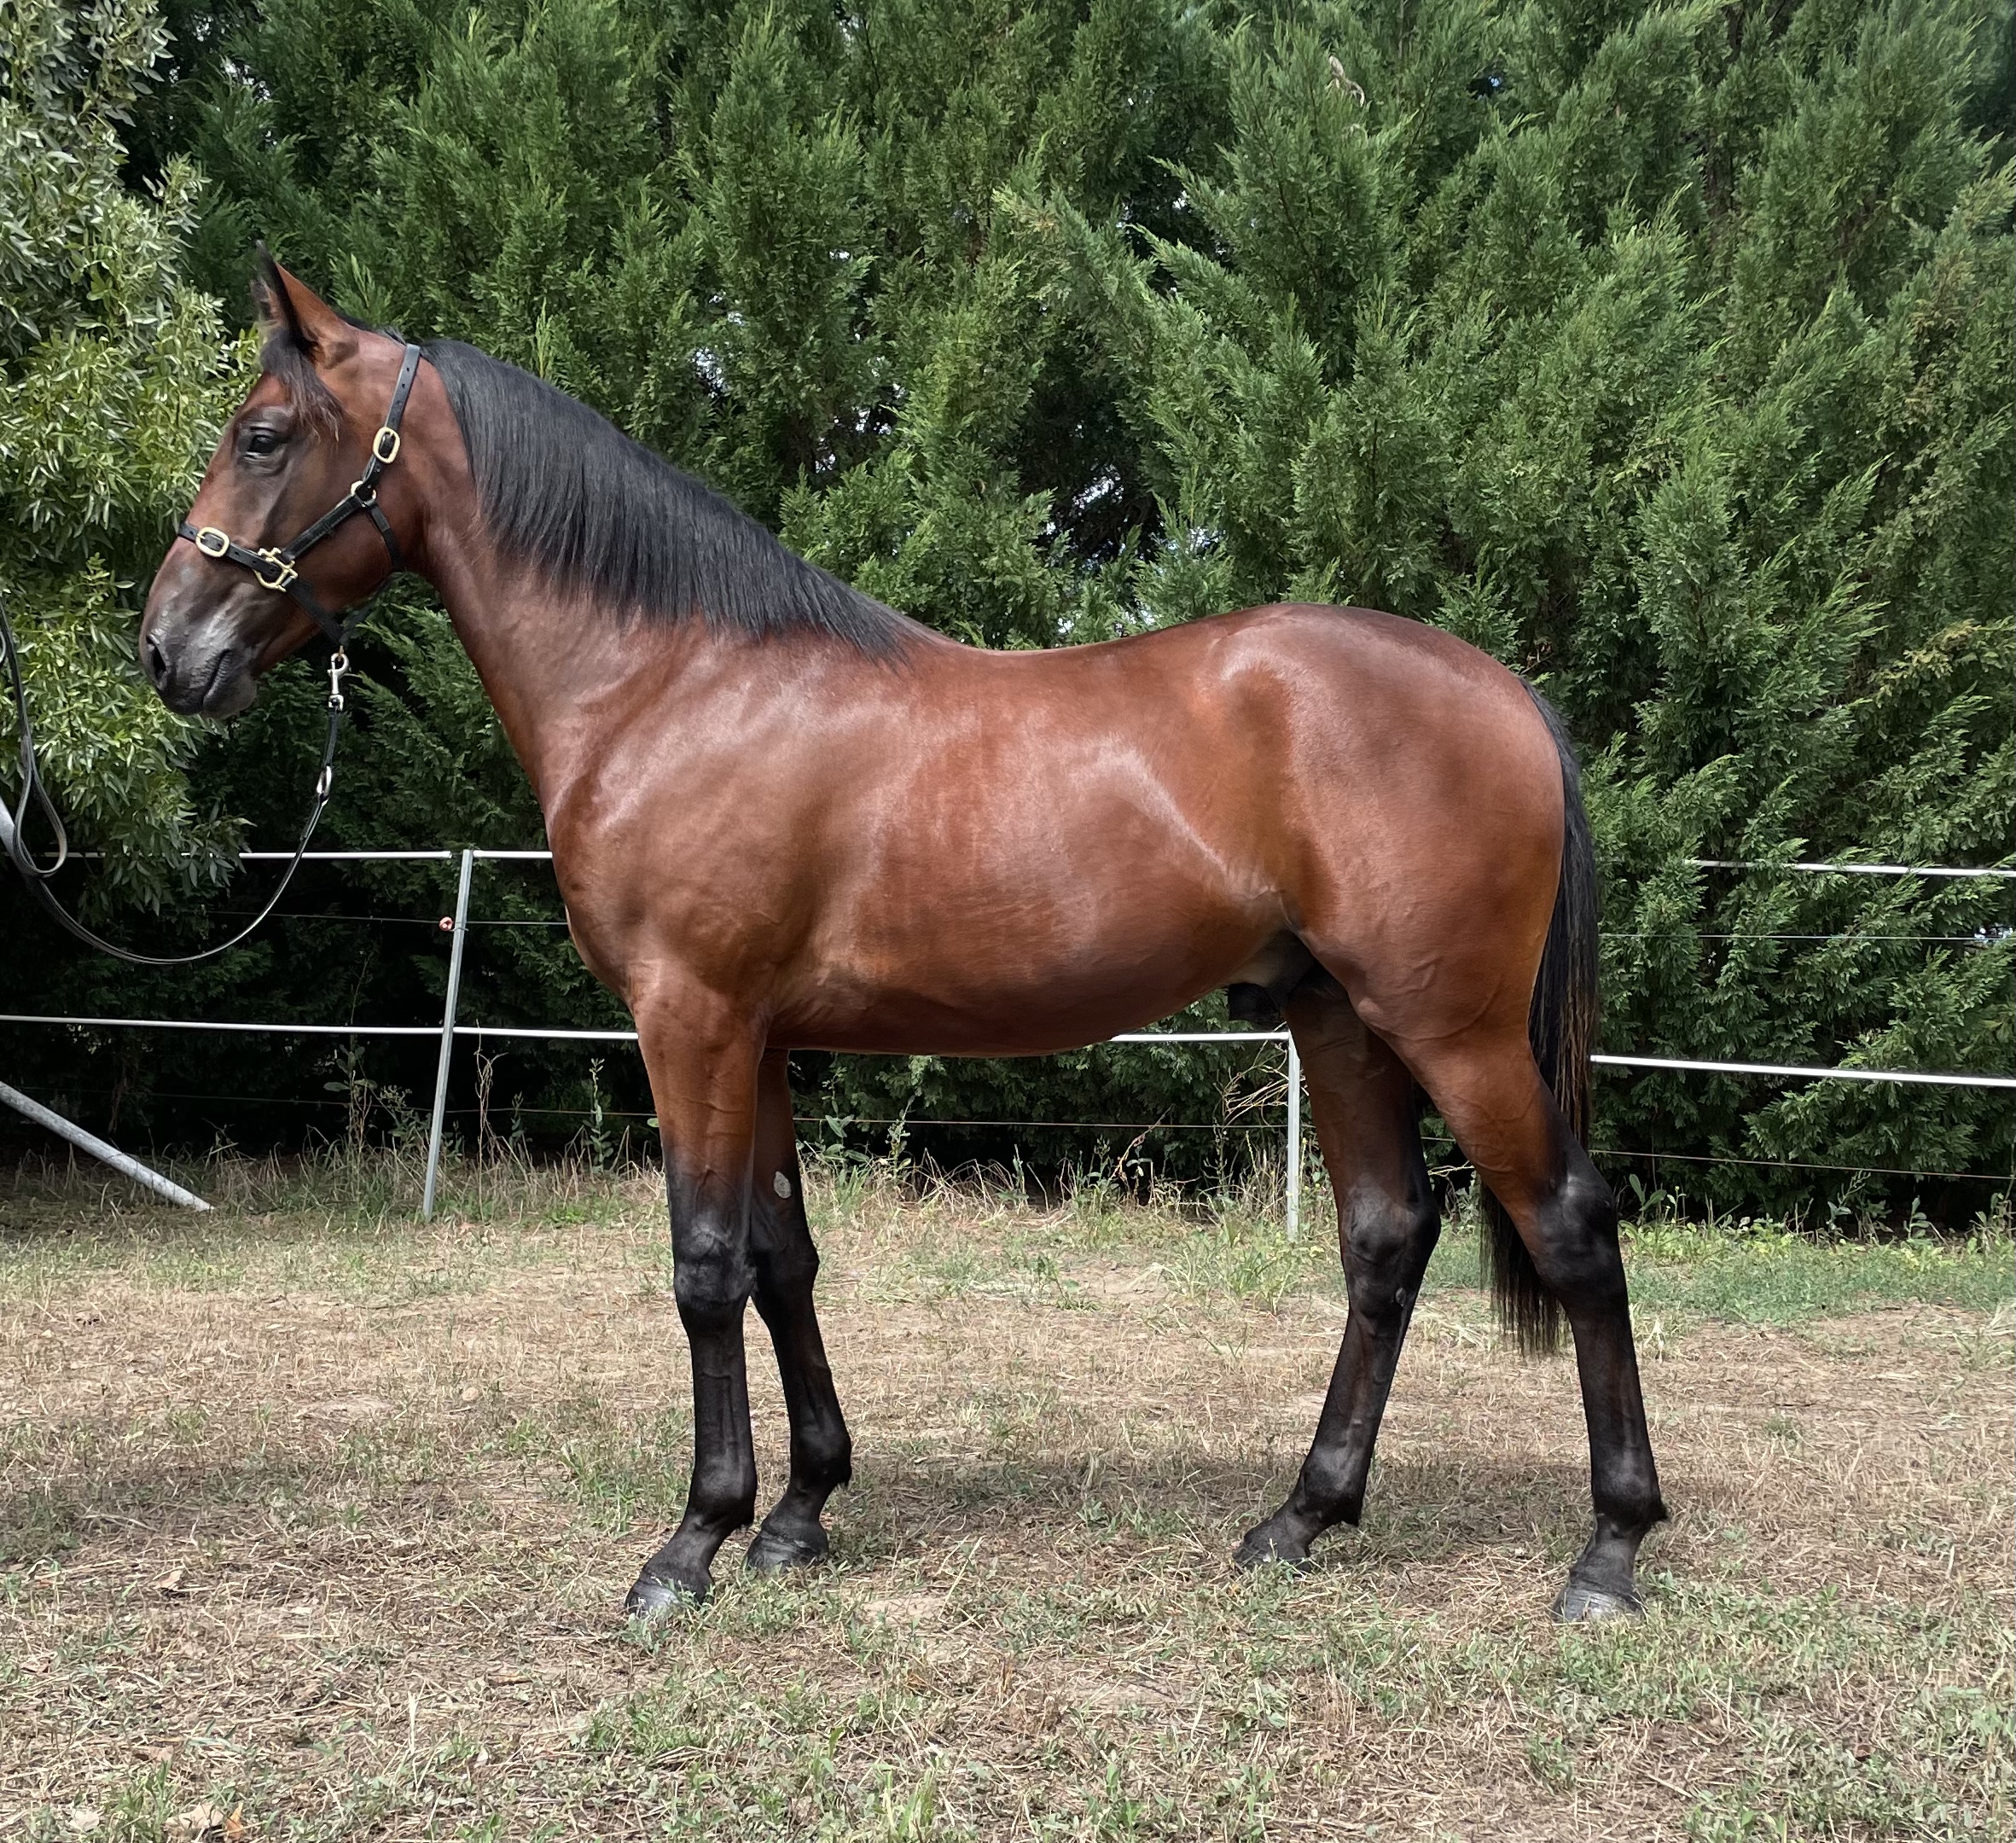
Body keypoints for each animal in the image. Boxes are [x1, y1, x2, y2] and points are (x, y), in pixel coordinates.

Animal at [138, 254, 1665, 1622]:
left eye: (261, 434)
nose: (165, 650)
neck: (671, 684)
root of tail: (1501, 691)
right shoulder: (751, 1036)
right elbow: (781, 1260)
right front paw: (799, 1514)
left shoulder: (687, 1018)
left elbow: (704, 1267)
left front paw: (689, 1546)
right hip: (1338, 1018)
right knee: (1383, 1240)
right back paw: (1297, 1518)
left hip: (1450, 1028)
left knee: (1571, 1230)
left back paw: (1606, 1552)